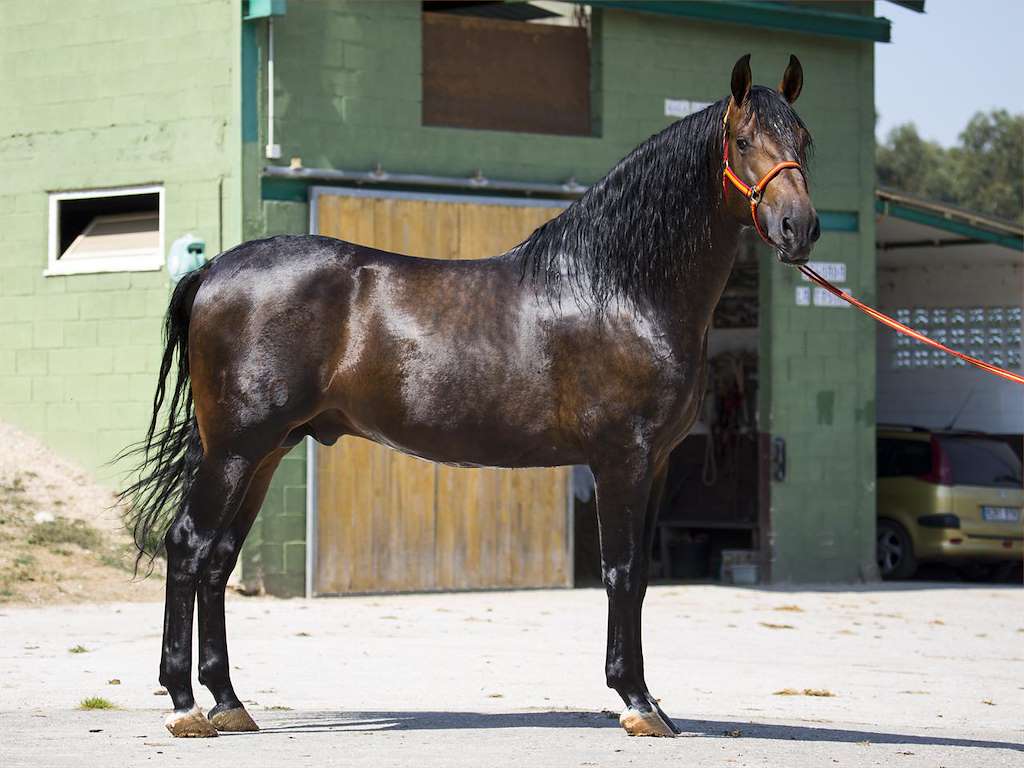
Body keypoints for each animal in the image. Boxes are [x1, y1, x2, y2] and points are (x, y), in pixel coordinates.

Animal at [121, 54, 823, 741]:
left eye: (805, 139)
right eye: (743, 141)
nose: (801, 227)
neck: (621, 289)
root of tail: (213, 269)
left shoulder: (658, 464)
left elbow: (641, 579)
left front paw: (649, 699)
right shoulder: (622, 460)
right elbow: (620, 573)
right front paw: (637, 702)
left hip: (265, 452)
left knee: (218, 558)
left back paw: (228, 703)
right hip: (237, 450)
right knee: (188, 545)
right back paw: (184, 706)